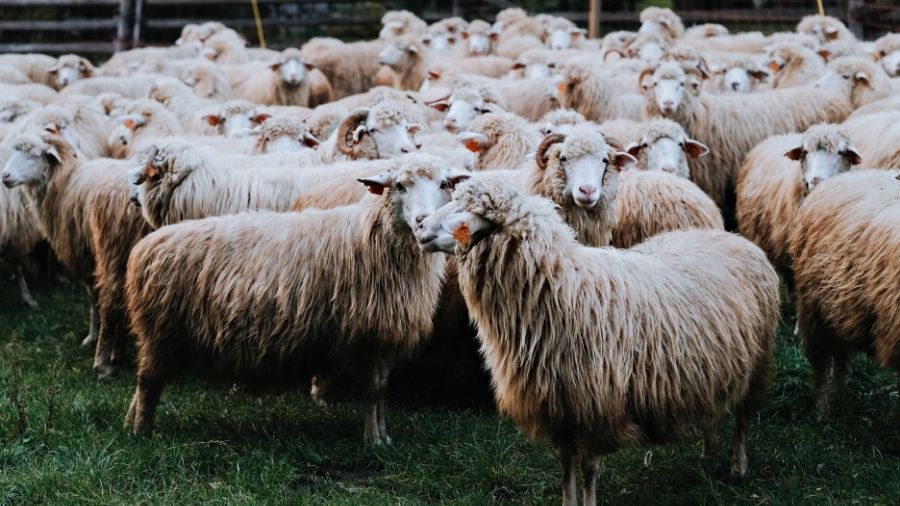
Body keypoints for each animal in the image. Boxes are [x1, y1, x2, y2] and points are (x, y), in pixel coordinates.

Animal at [123, 154, 466, 441]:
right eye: (399, 186)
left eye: (444, 184)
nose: (423, 219)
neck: (377, 237)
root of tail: (146, 246)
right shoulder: (368, 333)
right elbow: (371, 392)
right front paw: (372, 441)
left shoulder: (383, 337)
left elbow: (381, 392)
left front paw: (383, 436)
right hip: (161, 331)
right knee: (147, 382)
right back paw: (142, 432)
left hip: (159, 335)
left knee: (143, 381)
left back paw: (130, 421)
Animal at [421, 178, 777, 504]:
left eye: (466, 212)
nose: (421, 226)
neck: (558, 285)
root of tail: (733, 236)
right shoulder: (559, 407)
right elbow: (565, 467)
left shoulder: (595, 405)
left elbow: (588, 469)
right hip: (713, 366)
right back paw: (707, 453)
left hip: (757, 362)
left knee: (743, 417)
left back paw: (738, 466)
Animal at [790, 169, 900, 416]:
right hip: (817, 308)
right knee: (821, 360)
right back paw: (822, 410)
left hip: (844, 307)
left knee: (841, 352)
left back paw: (839, 391)